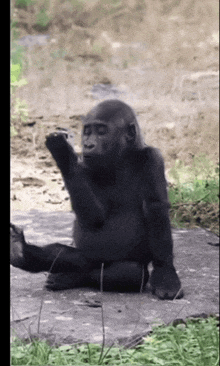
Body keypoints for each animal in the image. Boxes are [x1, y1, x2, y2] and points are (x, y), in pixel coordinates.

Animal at [10, 98, 183, 298]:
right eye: (87, 132)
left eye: (101, 132)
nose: (87, 144)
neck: (122, 157)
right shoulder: (85, 165)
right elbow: (93, 218)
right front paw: (64, 156)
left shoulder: (153, 158)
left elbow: (156, 208)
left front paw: (165, 274)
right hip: (89, 257)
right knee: (71, 258)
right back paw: (23, 253)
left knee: (128, 272)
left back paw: (70, 276)